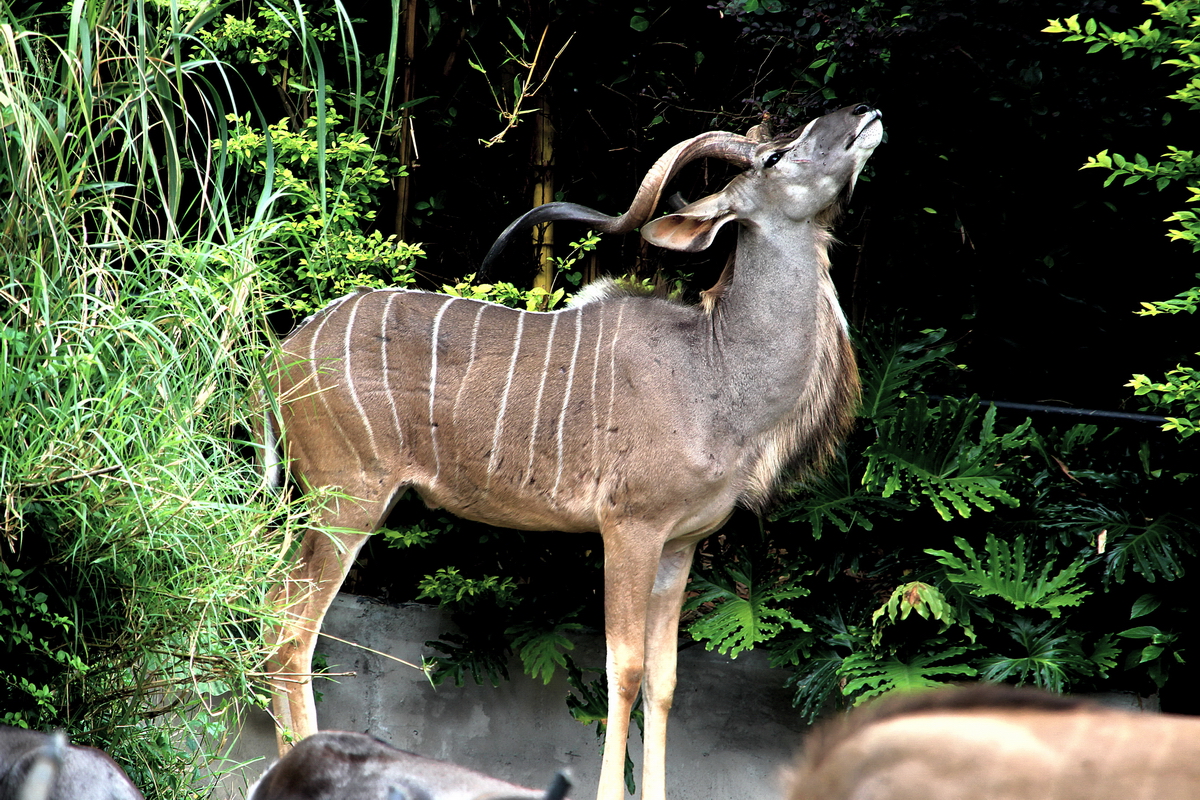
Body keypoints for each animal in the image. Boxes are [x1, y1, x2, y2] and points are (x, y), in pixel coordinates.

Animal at [262, 103, 883, 796]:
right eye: (776, 156)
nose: (862, 113)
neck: (715, 367)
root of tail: (280, 356)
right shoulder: (630, 528)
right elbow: (625, 667)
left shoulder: (681, 544)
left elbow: (666, 681)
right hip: (348, 500)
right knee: (293, 629)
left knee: (271, 610)